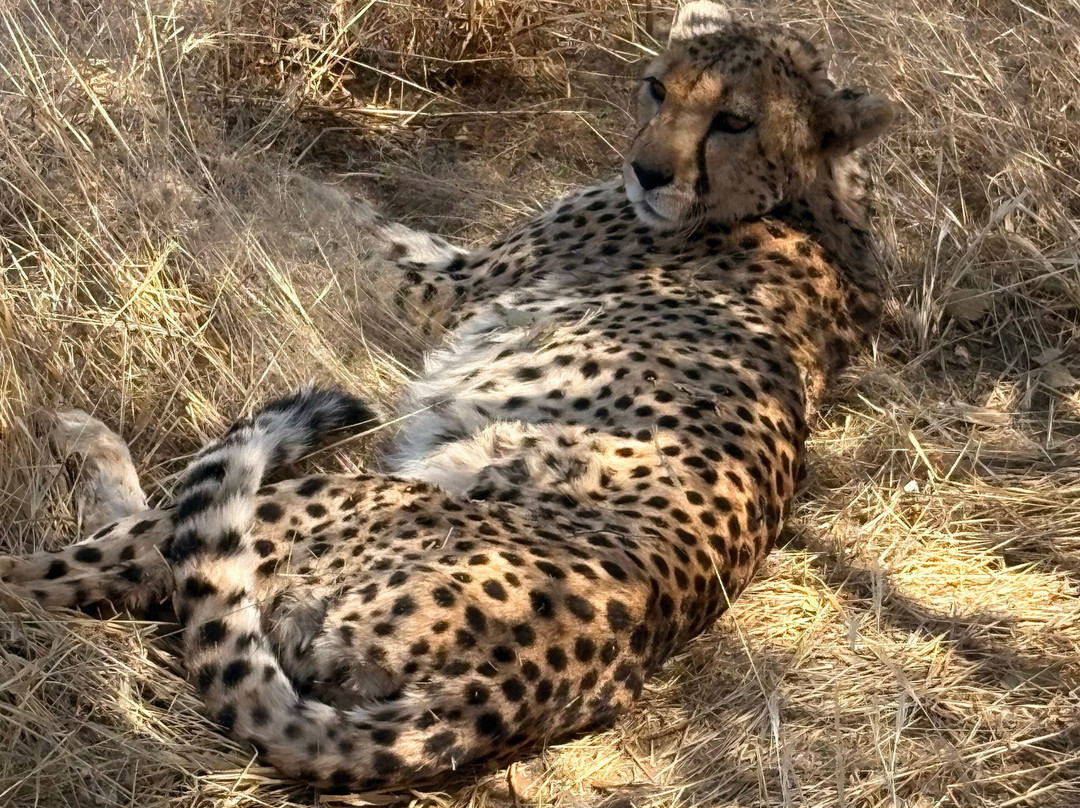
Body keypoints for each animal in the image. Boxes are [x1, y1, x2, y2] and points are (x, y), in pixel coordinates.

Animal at [0, 1, 895, 793]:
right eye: (657, 88)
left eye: (735, 121)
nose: (648, 172)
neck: (805, 201)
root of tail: (492, 701)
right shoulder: (458, 267)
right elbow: (371, 217)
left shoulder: (448, 290)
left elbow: (347, 223)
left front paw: (199, 162)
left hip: (335, 500)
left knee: (87, 566)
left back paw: (71, 456)